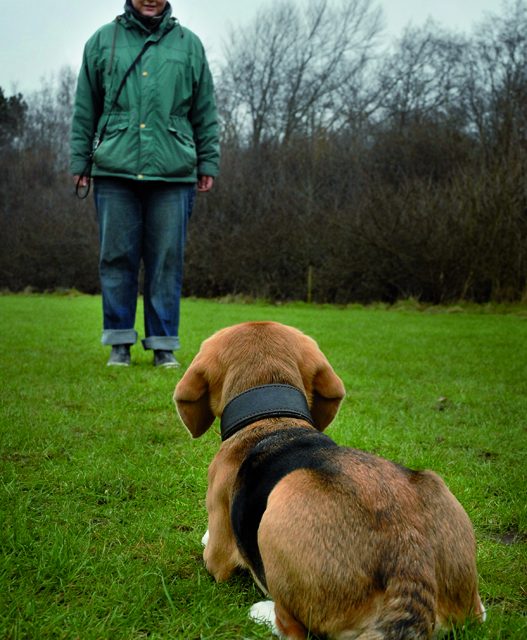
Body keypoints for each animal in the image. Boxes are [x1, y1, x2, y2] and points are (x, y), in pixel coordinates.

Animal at [174, 322, 486, 636]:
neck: (272, 419)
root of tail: (410, 565)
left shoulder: (218, 554)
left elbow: (212, 549)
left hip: (284, 499)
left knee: (293, 627)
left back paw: (262, 612)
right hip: (436, 488)